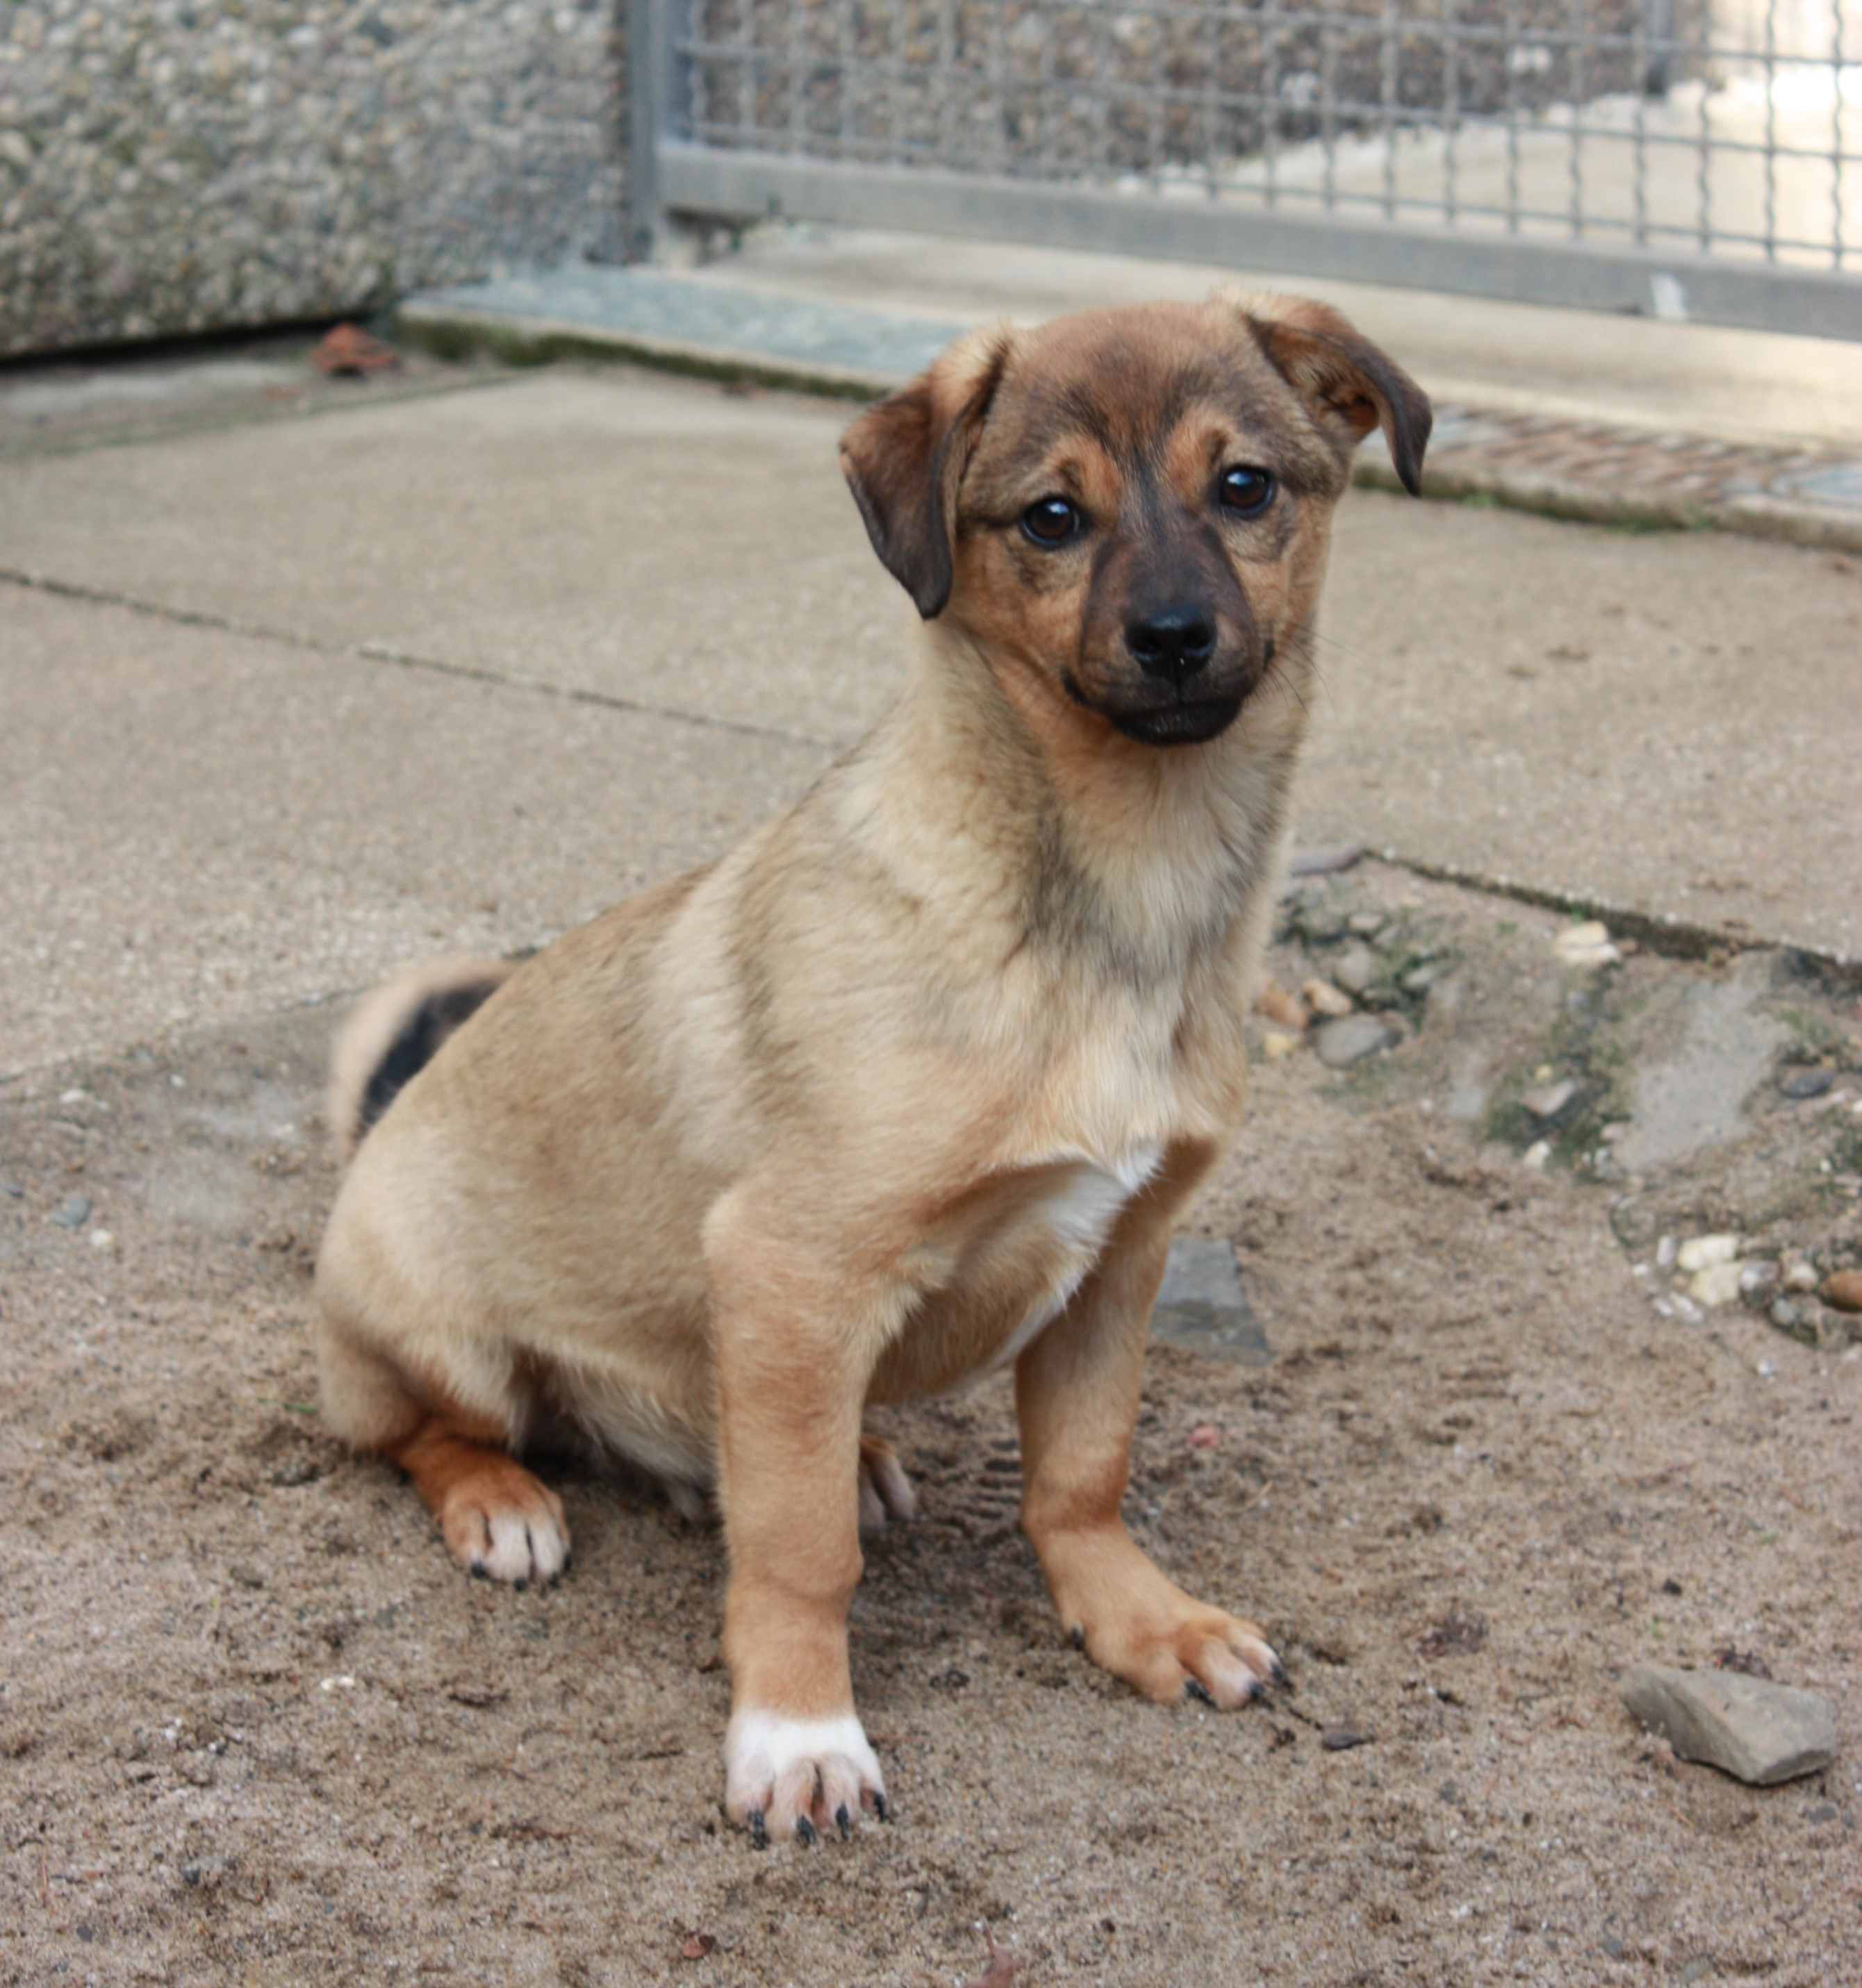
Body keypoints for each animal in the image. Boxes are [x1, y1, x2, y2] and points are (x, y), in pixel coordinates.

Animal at [313, 291, 1429, 1845]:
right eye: (1050, 517)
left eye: (1246, 487)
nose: (1171, 637)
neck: (1113, 890)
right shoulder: (792, 1261)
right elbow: (800, 1554)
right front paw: (798, 1732)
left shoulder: (1120, 1258)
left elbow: (1081, 1477)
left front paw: (1136, 1620)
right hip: (443, 1333)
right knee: (417, 1432)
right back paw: (502, 1500)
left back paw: (836, 1455)